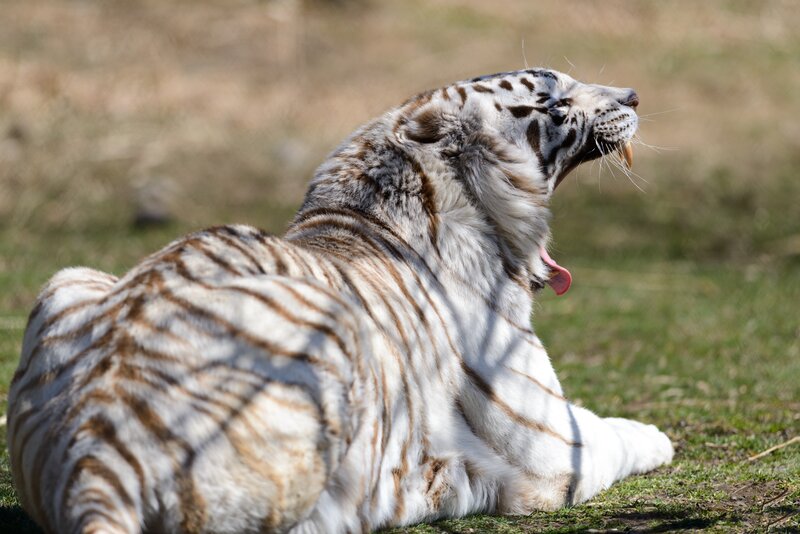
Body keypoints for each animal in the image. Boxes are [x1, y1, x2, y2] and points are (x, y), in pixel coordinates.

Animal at [7, 68, 673, 534]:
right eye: (554, 100)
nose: (637, 95)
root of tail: (98, 453)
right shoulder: (551, 447)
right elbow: (614, 432)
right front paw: (661, 437)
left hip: (68, 279)